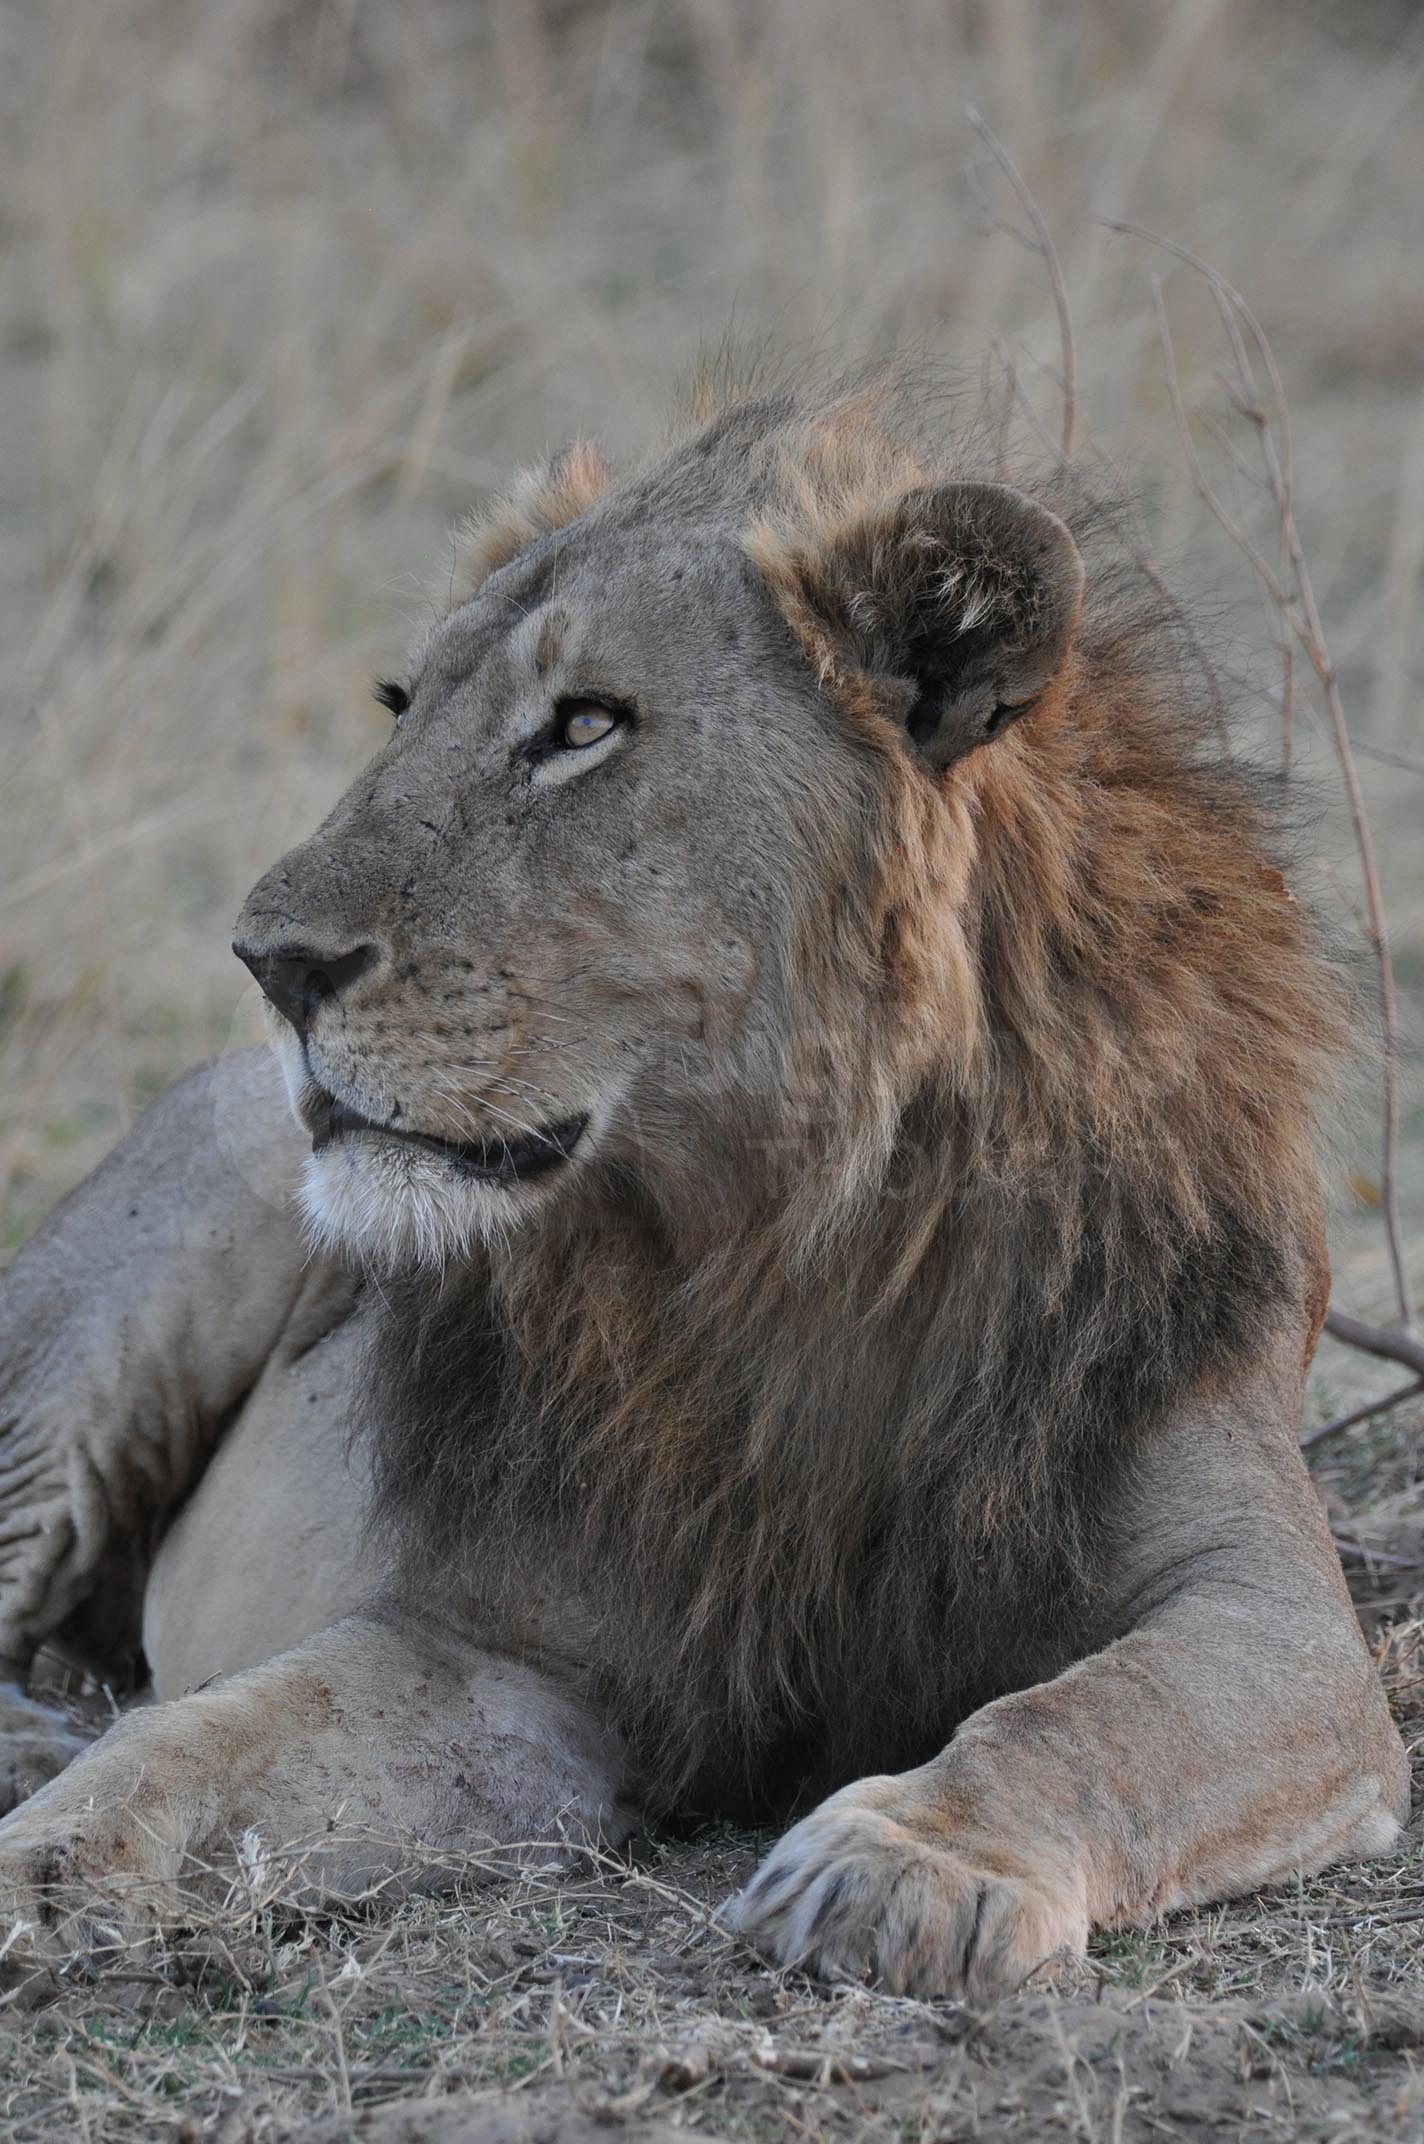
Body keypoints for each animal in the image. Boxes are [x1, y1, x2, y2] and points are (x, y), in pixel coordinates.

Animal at [0, 364, 1406, 1989]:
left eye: (584, 723)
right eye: (402, 708)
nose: (268, 961)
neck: (791, 1234)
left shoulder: (1267, 1606)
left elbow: (1088, 1718)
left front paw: (901, 1862)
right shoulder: (510, 1654)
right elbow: (205, 1738)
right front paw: (41, 1858)